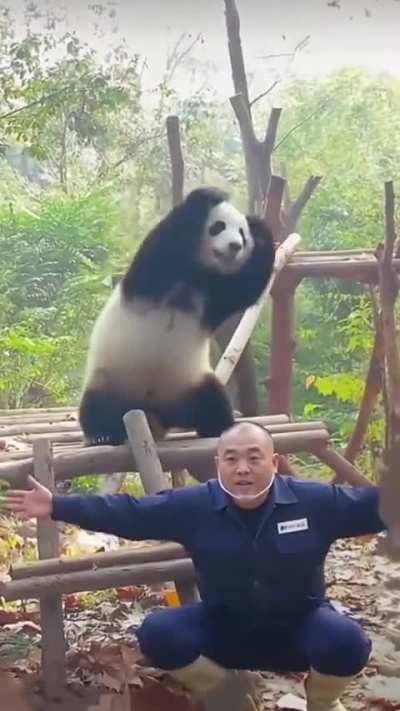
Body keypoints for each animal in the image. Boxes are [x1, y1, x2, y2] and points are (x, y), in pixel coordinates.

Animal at [79, 186, 275, 446]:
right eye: (218, 226)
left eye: (242, 234)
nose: (235, 246)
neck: (195, 273)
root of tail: (153, 413)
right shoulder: (156, 275)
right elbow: (161, 245)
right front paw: (208, 195)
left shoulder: (211, 297)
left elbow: (245, 288)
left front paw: (260, 229)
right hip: (113, 376)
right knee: (97, 405)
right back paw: (102, 434)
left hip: (190, 382)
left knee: (212, 401)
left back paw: (221, 427)